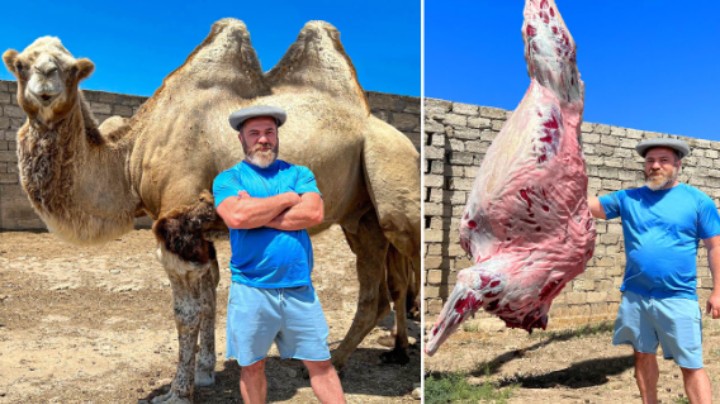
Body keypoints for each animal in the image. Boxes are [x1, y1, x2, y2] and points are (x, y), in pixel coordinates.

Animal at [4, 19, 422, 404]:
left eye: (70, 69)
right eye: (21, 65)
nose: (45, 86)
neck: (132, 155)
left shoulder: (177, 228)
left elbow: (186, 313)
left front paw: (177, 392)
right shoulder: (201, 233)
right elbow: (208, 300)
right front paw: (205, 374)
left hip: (393, 180)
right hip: (360, 219)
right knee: (374, 293)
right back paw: (335, 361)